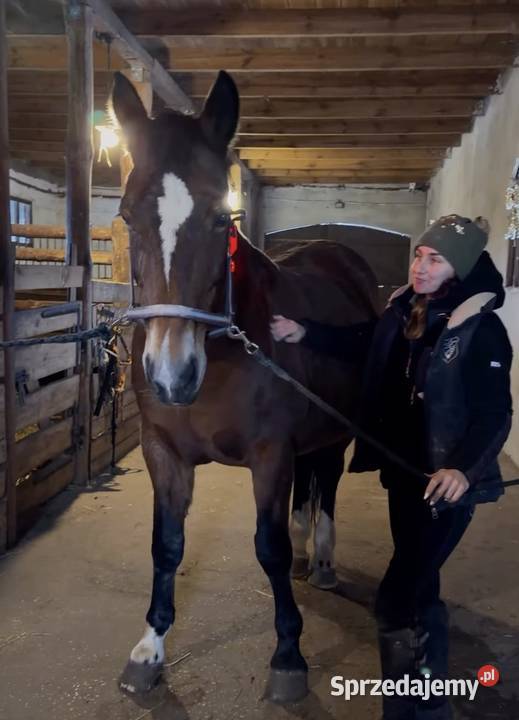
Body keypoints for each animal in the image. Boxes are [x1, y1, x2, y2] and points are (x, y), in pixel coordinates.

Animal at [111, 69, 379, 703]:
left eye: (221, 219)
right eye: (128, 215)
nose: (172, 376)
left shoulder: (270, 454)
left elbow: (269, 547)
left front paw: (288, 656)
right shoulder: (164, 453)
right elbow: (167, 545)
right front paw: (148, 651)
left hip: (335, 433)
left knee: (327, 486)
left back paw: (322, 561)